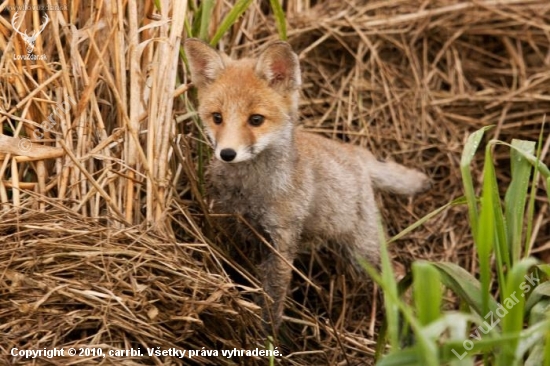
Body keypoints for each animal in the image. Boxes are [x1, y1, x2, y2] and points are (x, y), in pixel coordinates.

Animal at [185, 37, 432, 332]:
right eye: (217, 118)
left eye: (256, 120)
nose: (227, 154)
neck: (250, 191)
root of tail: (356, 152)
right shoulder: (232, 224)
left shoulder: (282, 240)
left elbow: (274, 300)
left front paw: (268, 337)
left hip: (362, 252)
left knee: (399, 273)